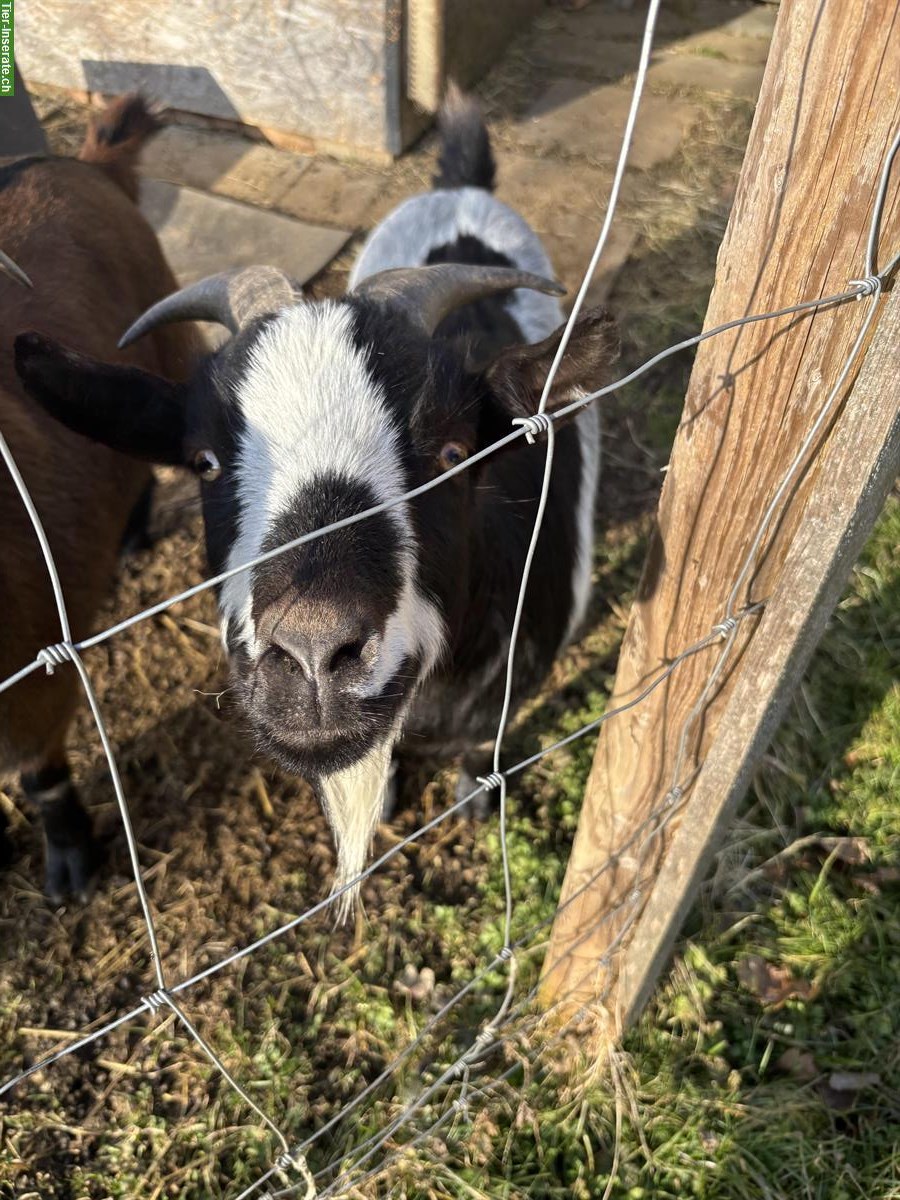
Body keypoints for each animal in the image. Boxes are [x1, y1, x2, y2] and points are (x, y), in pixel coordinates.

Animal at [14, 91, 619, 907]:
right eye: (205, 461)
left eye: (454, 453)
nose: (310, 651)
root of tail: (464, 187)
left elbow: (482, 746)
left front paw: (473, 796)